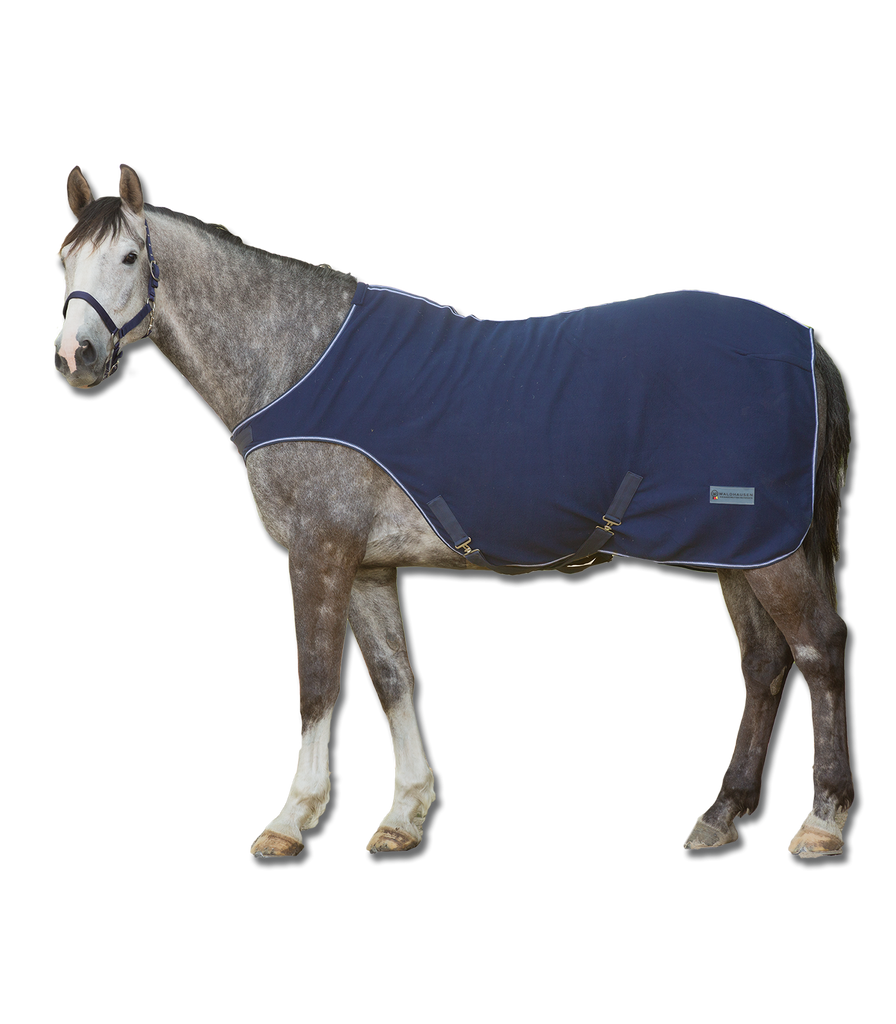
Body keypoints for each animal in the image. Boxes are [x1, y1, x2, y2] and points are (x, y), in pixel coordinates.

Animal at [52, 162, 855, 860]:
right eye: (64, 261)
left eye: (129, 256)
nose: (75, 356)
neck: (295, 358)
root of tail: (804, 343)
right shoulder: (367, 563)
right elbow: (391, 677)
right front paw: (403, 815)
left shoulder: (320, 551)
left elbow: (318, 681)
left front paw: (289, 819)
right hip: (739, 550)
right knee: (765, 664)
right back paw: (720, 813)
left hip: (771, 550)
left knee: (818, 649)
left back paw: (821, 821)